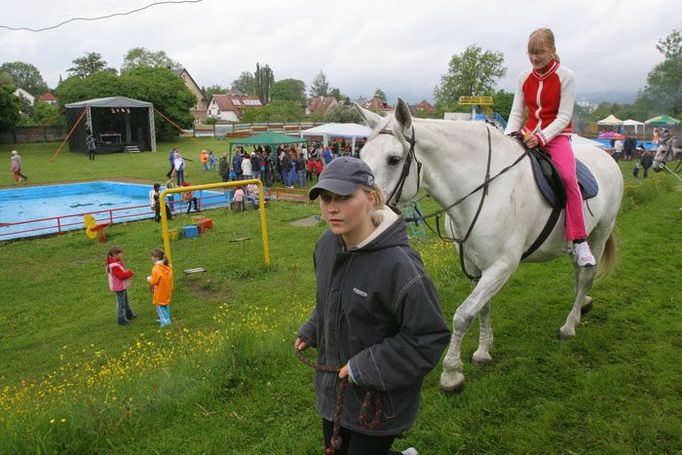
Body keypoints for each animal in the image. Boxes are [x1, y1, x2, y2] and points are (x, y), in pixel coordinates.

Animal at [356, 100, 620, 392]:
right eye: (362, 154)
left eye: (393, 159)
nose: (366, 214)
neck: (484, 189)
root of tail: (607, 157)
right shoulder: (475, 266)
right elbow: (481, 307)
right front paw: (483, 351)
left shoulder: (500, 267)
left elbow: (463, 315)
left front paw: (451, 372)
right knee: (579, 272)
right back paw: (582, 304)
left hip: (600, 232)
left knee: (586, 276)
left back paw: (569, 325)